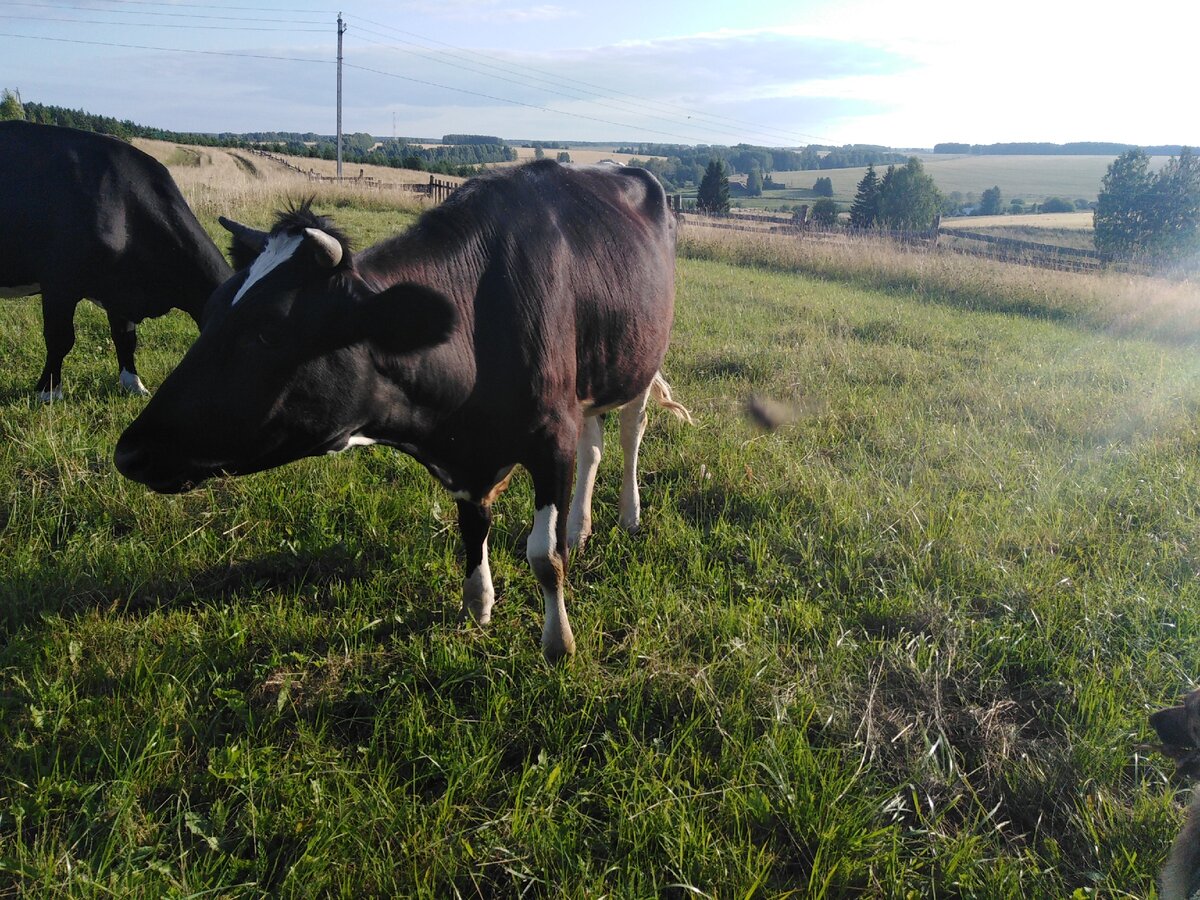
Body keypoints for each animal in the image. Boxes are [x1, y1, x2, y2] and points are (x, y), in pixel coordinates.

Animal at [0, 118, 231, 398]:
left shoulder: (121, 286)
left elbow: (126, 337)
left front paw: (134, 385)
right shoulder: (59, 282)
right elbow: (60, 338)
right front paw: (48, 391)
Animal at [117, 158, 696, 657]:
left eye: (268, 331)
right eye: (214, 308)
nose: (129, 452)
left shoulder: (551, 438)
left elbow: (543, 556)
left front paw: (558, 643)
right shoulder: (468, 455)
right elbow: (473, 527)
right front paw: (478, 607)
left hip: (642, 359)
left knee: (630, 435)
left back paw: (628, 515)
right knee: (593, 447)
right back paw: (579, 526)